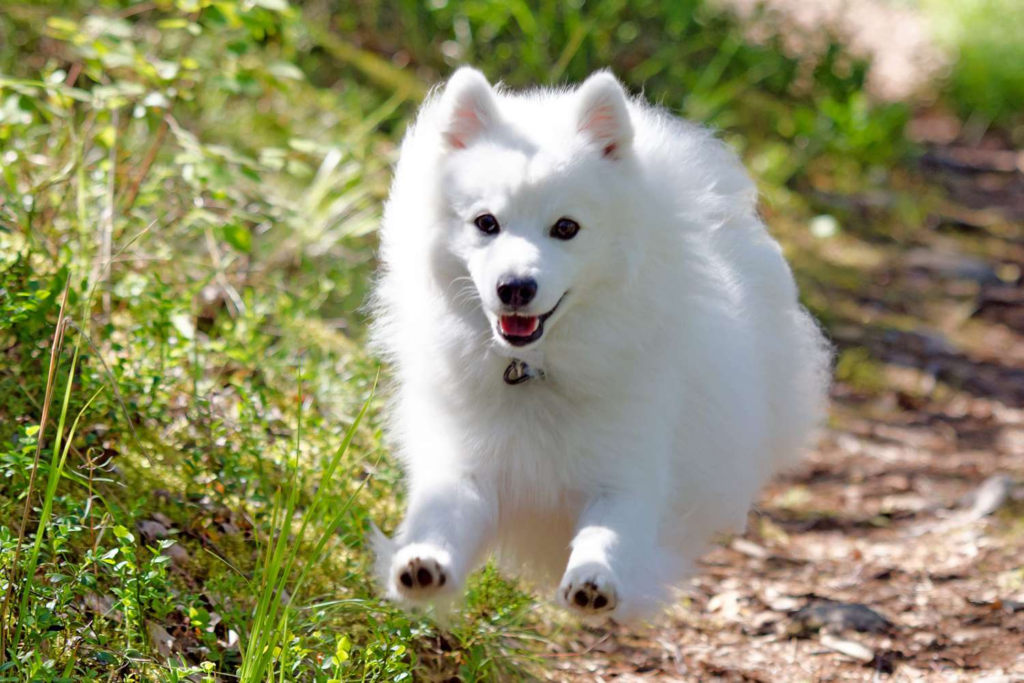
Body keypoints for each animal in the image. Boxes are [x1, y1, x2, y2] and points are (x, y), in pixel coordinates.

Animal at [368, 68, 831, 618]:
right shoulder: (465, 465)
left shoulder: (627, 473)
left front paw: (594, 579)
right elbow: (443, 519)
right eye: (486, 223)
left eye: (566, 228)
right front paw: (422, 564)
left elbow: (607, 533)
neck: (533, 370)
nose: (515, 287)